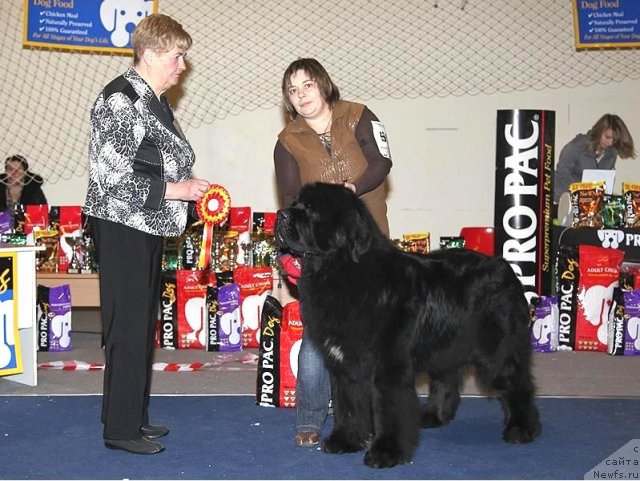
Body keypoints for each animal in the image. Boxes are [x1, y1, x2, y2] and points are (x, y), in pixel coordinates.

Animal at [274, 182, 540, 466]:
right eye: (295, 203)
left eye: (311, 209)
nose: (281, 214)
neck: (342, 270)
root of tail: (506, 267)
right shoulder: (345, 365)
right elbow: (349, 405)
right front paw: (345, 440)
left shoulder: (388, 366)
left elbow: (389, 409)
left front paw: (386, 452)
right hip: (446, 345)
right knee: (446, 378)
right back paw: (433, 415)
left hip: (496, 351)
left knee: (517, 383)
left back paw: (522, 429)